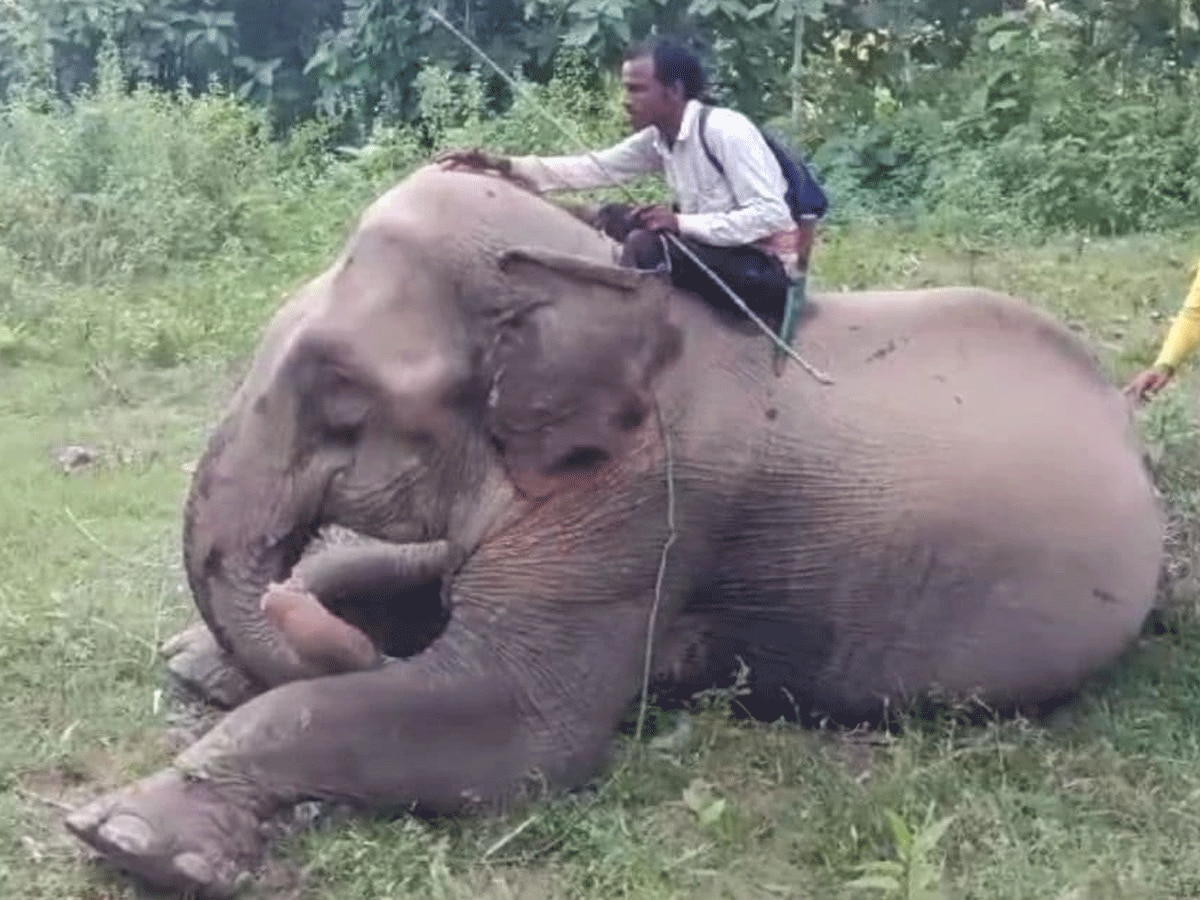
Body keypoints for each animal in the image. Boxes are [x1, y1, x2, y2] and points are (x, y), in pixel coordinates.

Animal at [63, 165, 1161, 897]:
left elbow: (516, 726)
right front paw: (199, 666)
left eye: (339, 391)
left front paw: (132, 838)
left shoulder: (651, 500)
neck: (592, 276)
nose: (293, 617)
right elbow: (424, 577)